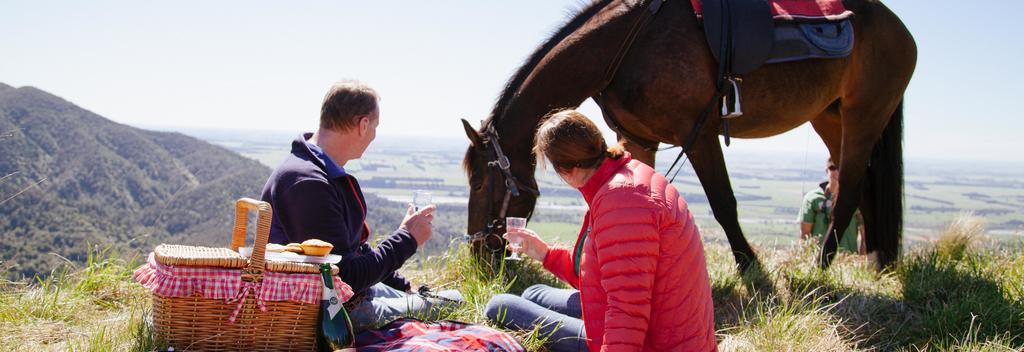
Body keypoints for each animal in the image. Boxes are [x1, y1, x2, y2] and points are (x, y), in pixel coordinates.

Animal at [460, 0, 917, 272]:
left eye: (480, 182)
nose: (478, 253)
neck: (626, 46)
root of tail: (898, 28)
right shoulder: (638, 140)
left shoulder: (698, 136)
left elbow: (723, 203)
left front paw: (748, 265)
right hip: (830, 117)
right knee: (863, 182)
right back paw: (878, 261)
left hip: (865, 115)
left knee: (850, 187)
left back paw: (821, 266)